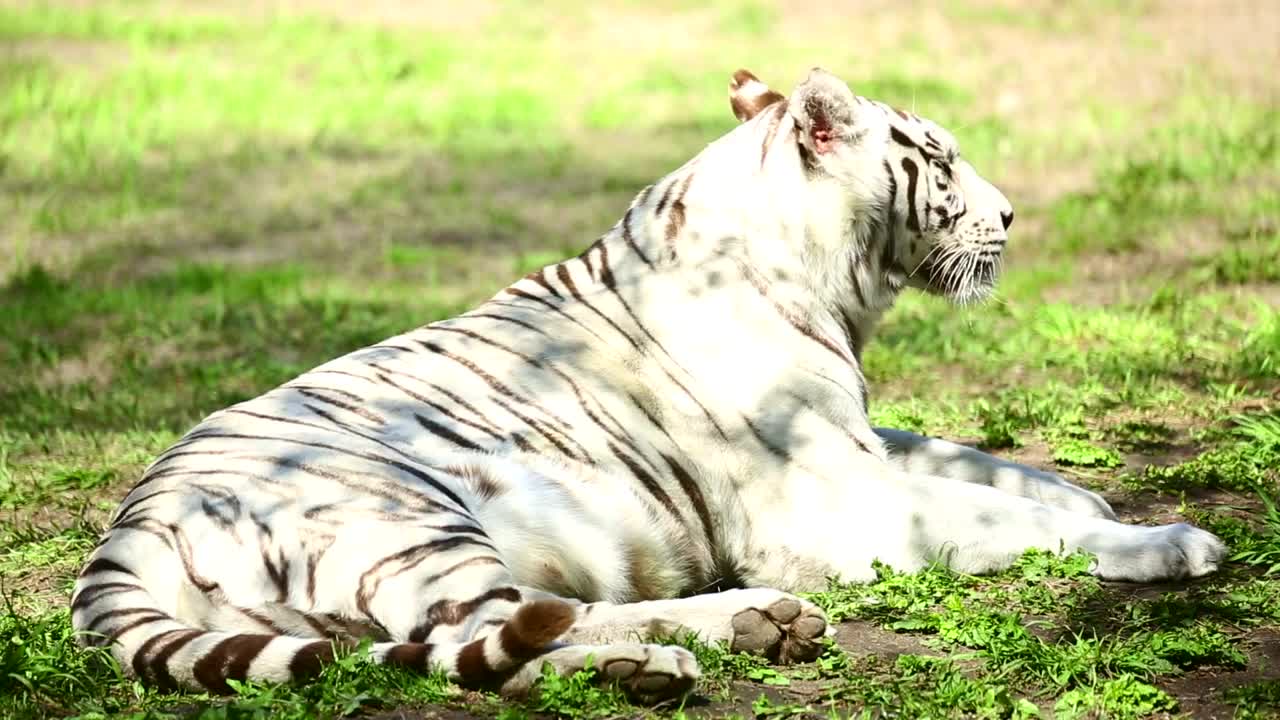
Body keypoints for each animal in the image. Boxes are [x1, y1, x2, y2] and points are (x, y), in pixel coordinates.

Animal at [72, 67, 1226, 703]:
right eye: (938, 162)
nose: (1014, 216)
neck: (826, 281)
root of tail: (126, 530)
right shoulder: (830, 503)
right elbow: (1005, 514)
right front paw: (1168, 542)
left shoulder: (857, 440)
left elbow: (994, 467)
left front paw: (1095, 495)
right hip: (411, 521)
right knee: (486, 639)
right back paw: (684, 654)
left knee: (490, 632)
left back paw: (742, 631)